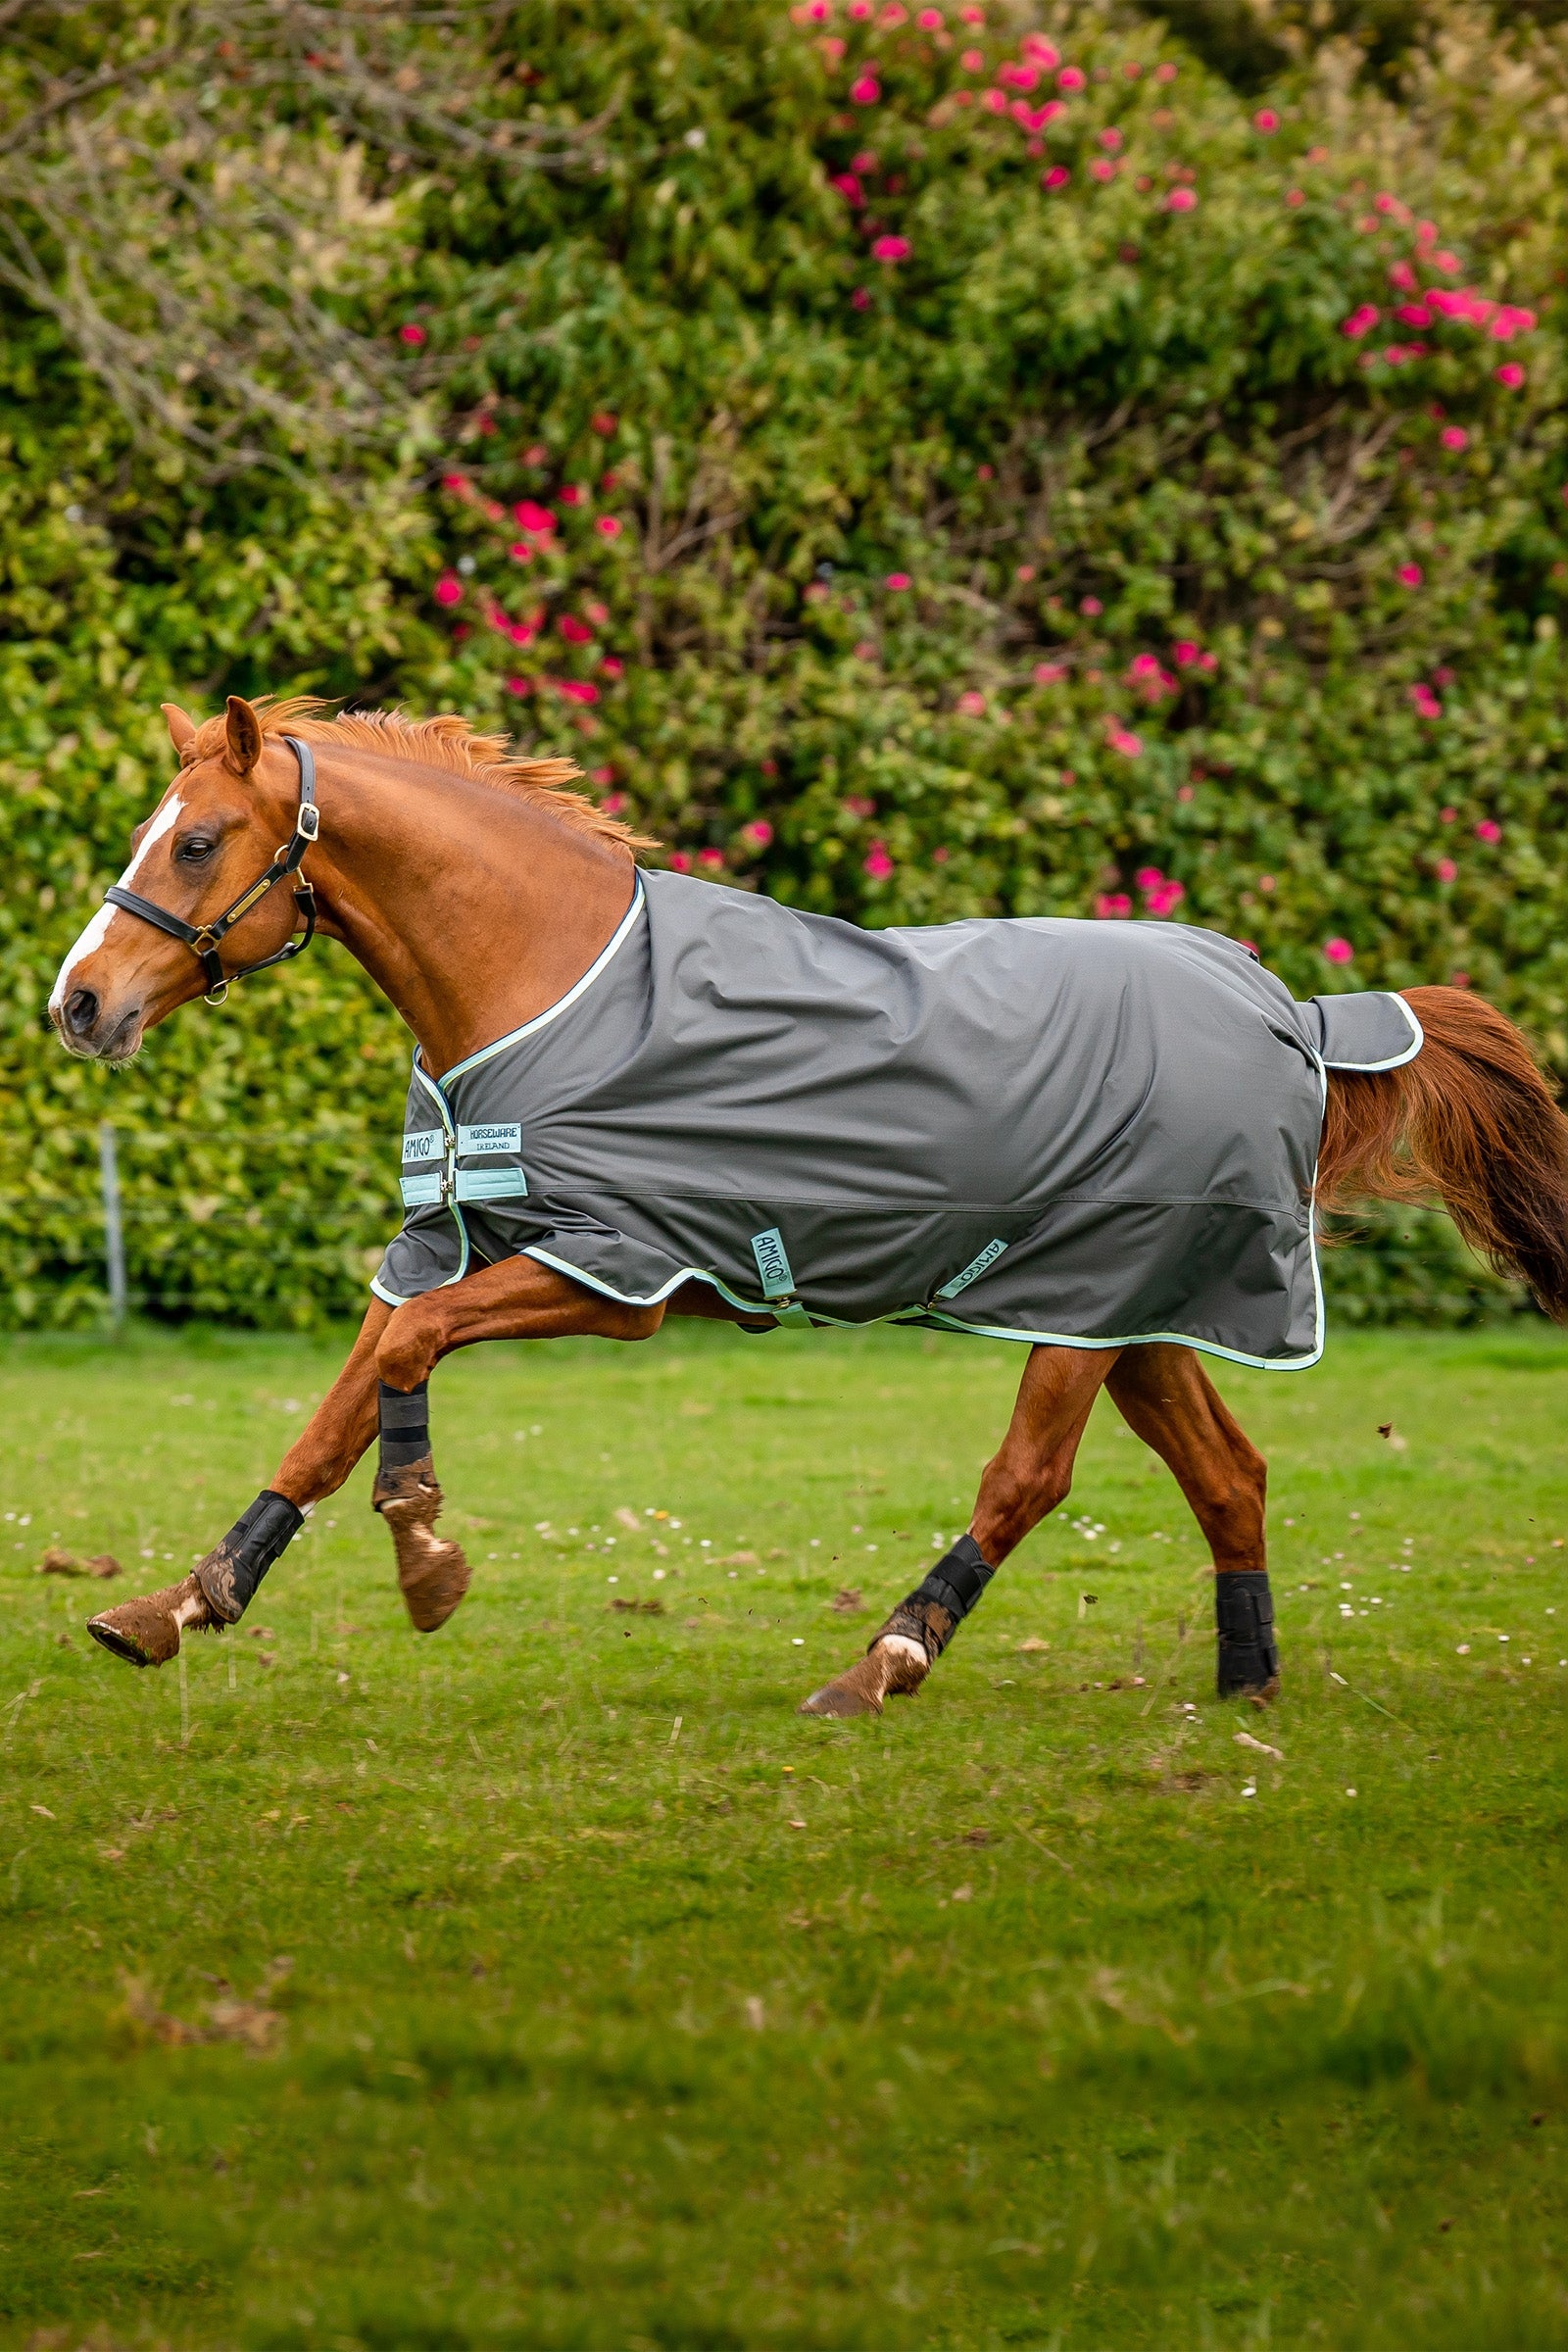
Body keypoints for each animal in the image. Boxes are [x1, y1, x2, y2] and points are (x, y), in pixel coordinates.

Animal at [48, 694, 1568, 1717]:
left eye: (197, 843)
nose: (78, 1003)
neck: (547, 973)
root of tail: (1293, 1011)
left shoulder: (613, 1273)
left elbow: (408, 1366)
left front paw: (426, 1557)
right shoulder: (456, 1244)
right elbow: (335, 1410)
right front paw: (180, 1604)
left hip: (1082, 1309)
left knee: (1029, 1480)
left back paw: (880, 1661)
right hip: (1138, 1312)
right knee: (1229, 1476)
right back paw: (1245, 1683)